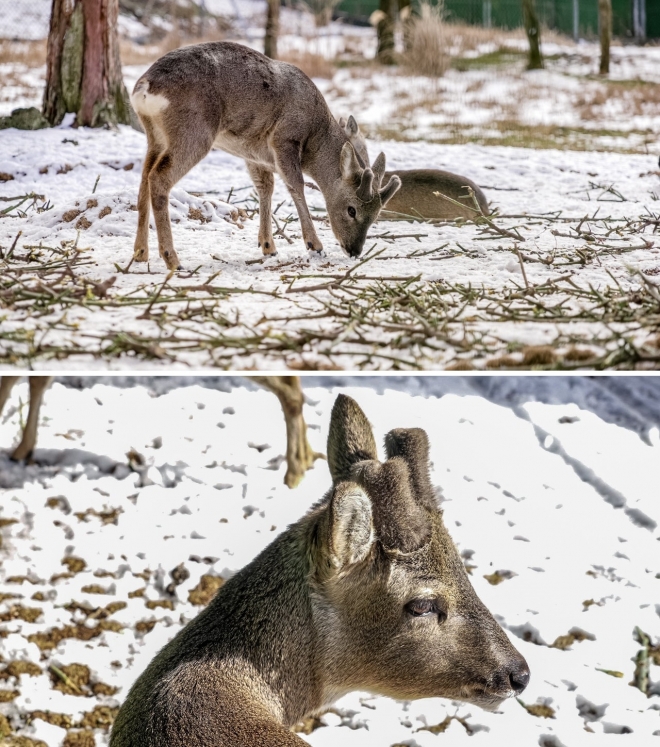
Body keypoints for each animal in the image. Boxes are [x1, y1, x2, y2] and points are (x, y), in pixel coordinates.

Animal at [130, 41, 402, 268]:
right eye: (352, 210)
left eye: (377, 214)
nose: (355, 250)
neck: (316, 133)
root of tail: (144, 89)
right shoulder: (285, 138)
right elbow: (295, 185)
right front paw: (315, 246)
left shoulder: (253, 153)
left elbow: (265, 188)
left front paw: (268, 246)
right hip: (194, 132)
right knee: (159, 178)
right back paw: (172, 259)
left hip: (155, 136)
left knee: (144, 180)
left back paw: (141, 253)